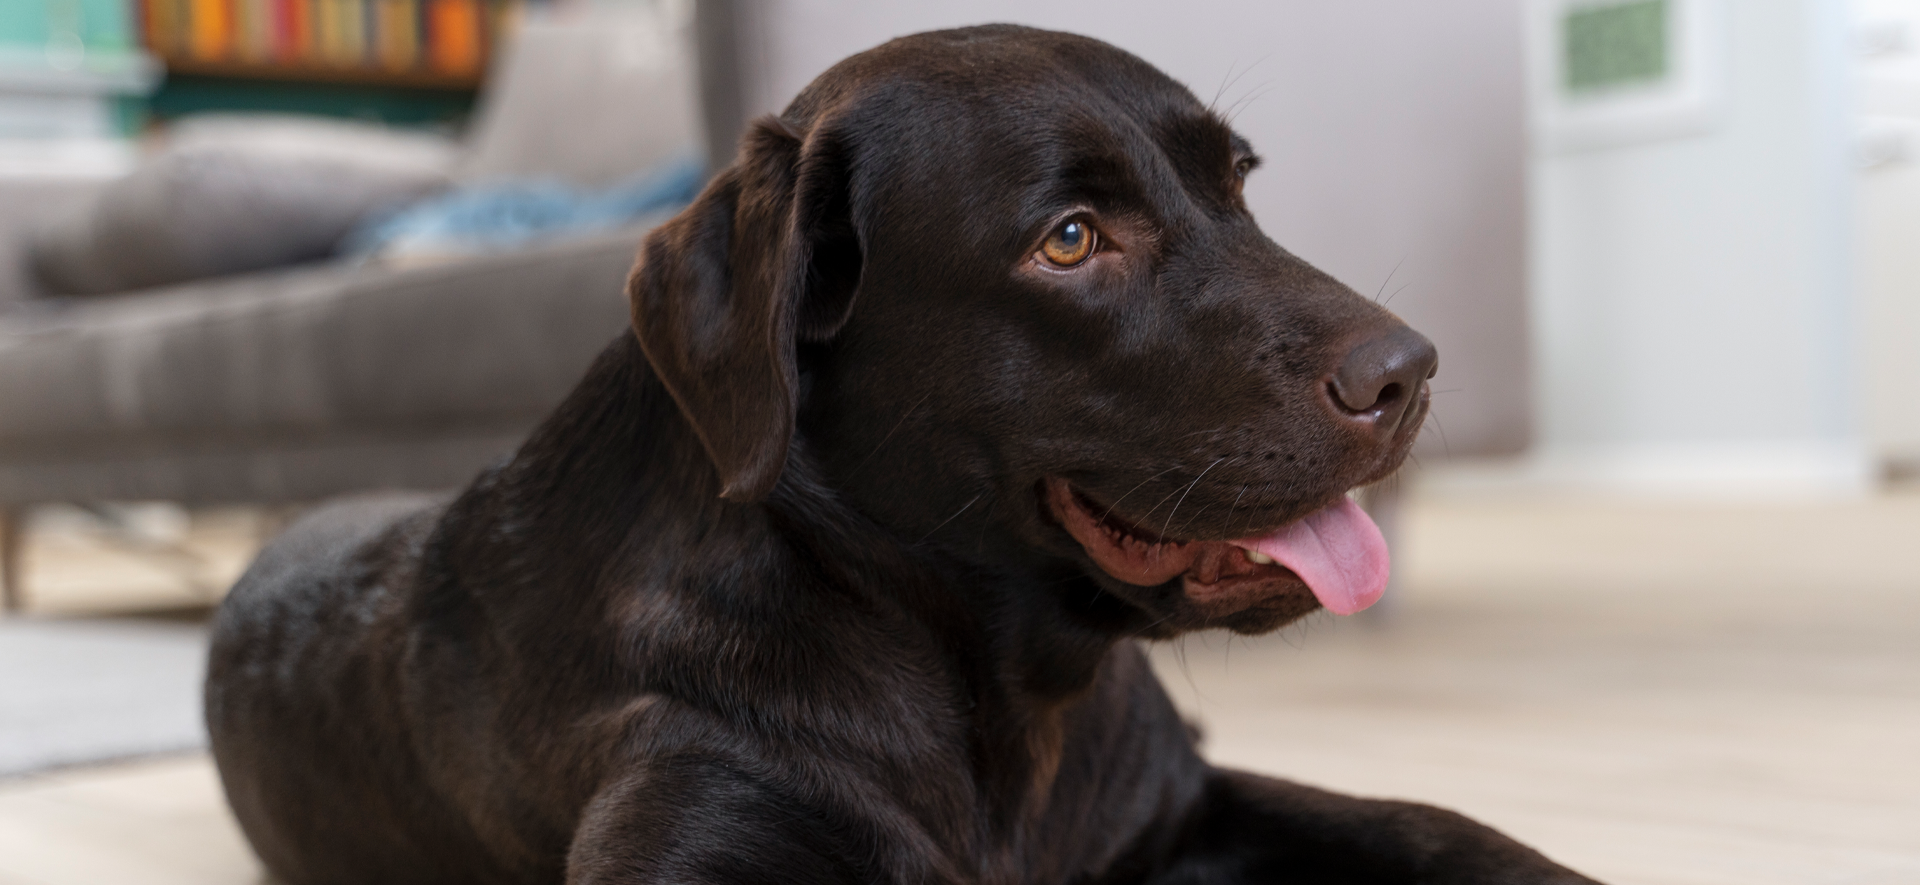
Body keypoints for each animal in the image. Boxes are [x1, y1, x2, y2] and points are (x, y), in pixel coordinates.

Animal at [202, 24, 1597, 879]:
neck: (998, 707)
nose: (1409, 372)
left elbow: (1438, 827)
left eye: (1240, 185)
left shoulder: (1184, 804)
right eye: (1072, 239)